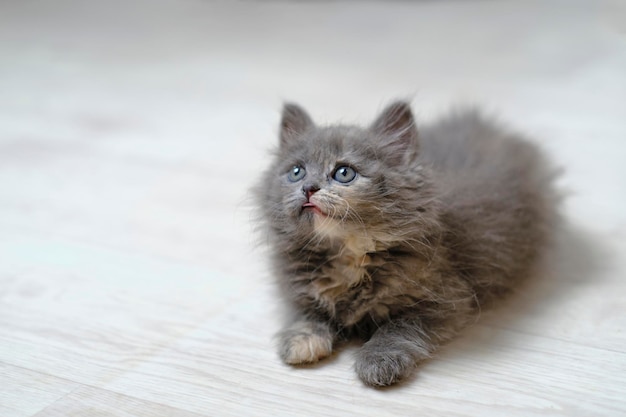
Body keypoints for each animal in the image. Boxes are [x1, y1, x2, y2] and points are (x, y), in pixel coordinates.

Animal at [256, 101, 560, 386]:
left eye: (344, 173)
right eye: (296, 172)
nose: (308, 188)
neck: (348, 251)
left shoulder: (446, 299)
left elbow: (398, 327)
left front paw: (378, 360)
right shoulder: (299, 288)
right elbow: (307, 313)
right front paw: (302, 339)